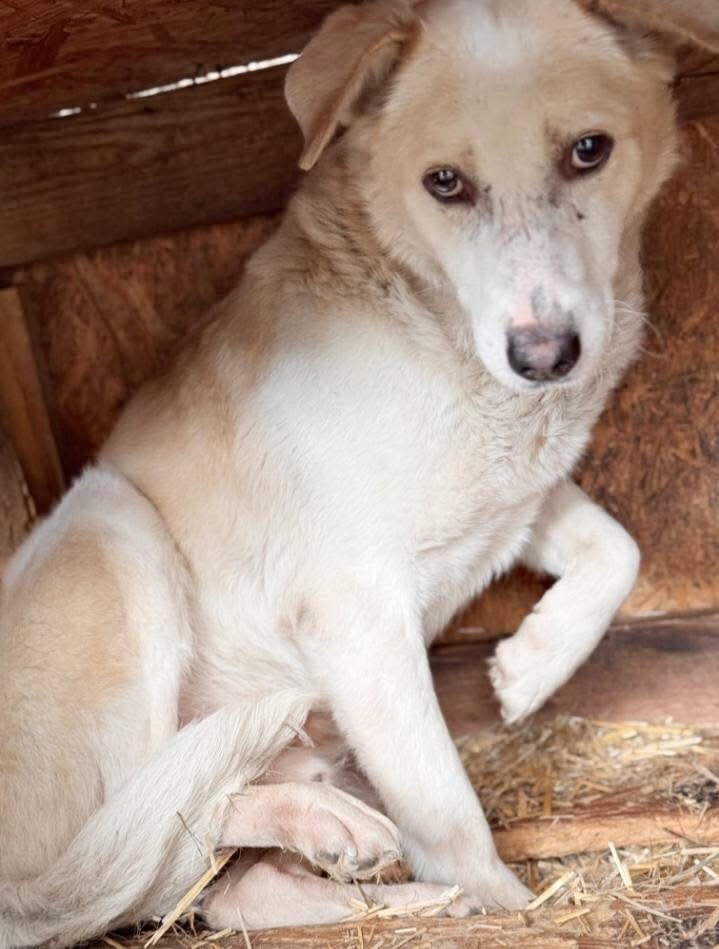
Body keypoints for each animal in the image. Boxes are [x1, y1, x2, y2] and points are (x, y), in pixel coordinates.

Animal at [1, 0, 715, 943]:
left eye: (588, 151)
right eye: (444, 183)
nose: (544, 356)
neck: (434, 330)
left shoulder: (511, 501)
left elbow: (617, 548)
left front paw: (529, 667)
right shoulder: (359, 611)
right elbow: (444, 801)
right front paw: (505, 909)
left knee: (228, 882)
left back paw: (361, 860)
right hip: (114, 526)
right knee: (132, 837)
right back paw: (334, 829)